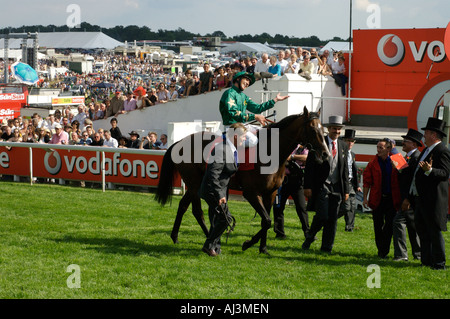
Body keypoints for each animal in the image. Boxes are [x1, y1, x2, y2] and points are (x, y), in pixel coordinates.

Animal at [156, 107, 328, 255]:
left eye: (324, 130)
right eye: (313, 129)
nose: (326, 153)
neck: (270, 153)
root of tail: (179, 142)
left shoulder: (271, 193)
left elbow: (266, 220)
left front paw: (263, 248)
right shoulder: (251, 193)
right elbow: (267, 220)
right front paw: (247, 243)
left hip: (195, 184)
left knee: (183, 206)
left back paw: (177, 236)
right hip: (194, 183)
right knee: (197, 211)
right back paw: (208, 238)